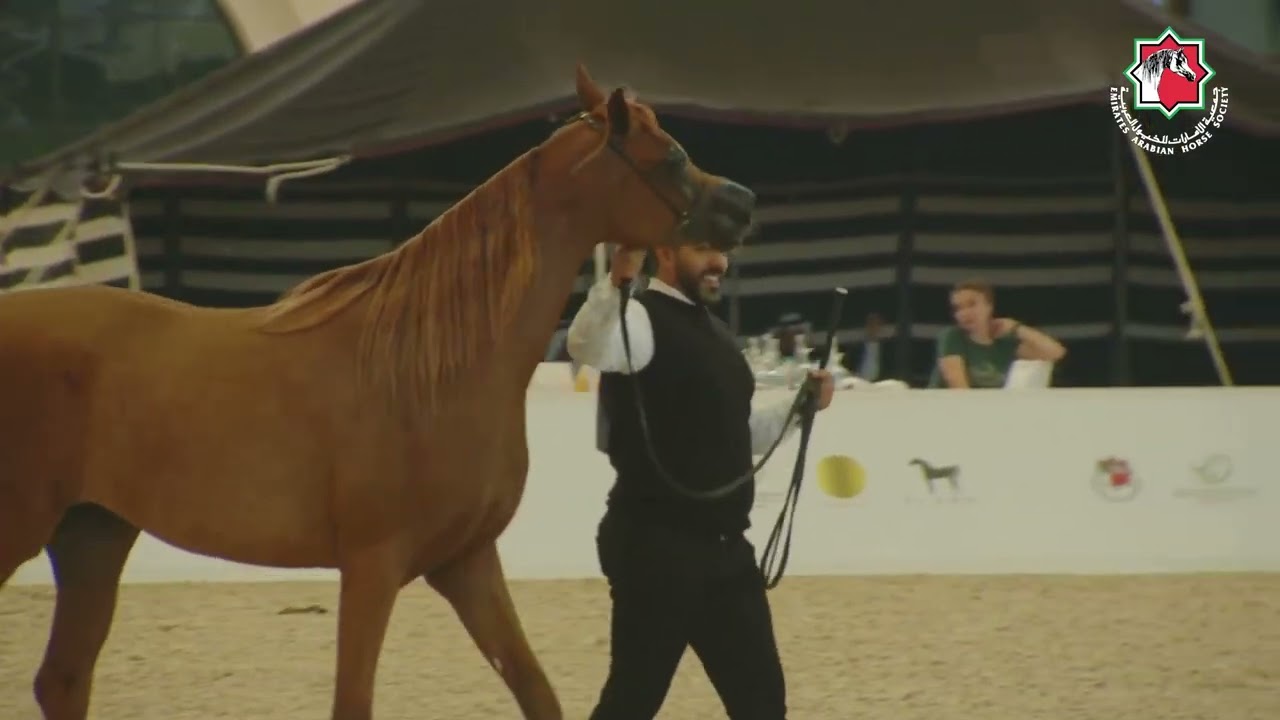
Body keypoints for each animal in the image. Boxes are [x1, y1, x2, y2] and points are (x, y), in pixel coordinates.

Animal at [0, 64, 757, 720]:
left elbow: (537, 692)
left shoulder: (466, 562)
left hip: (92, 536)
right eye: (671, 157)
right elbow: (353, 701)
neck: (432, 369)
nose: (744, 203)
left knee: (63, 680)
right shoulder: (371, 567)